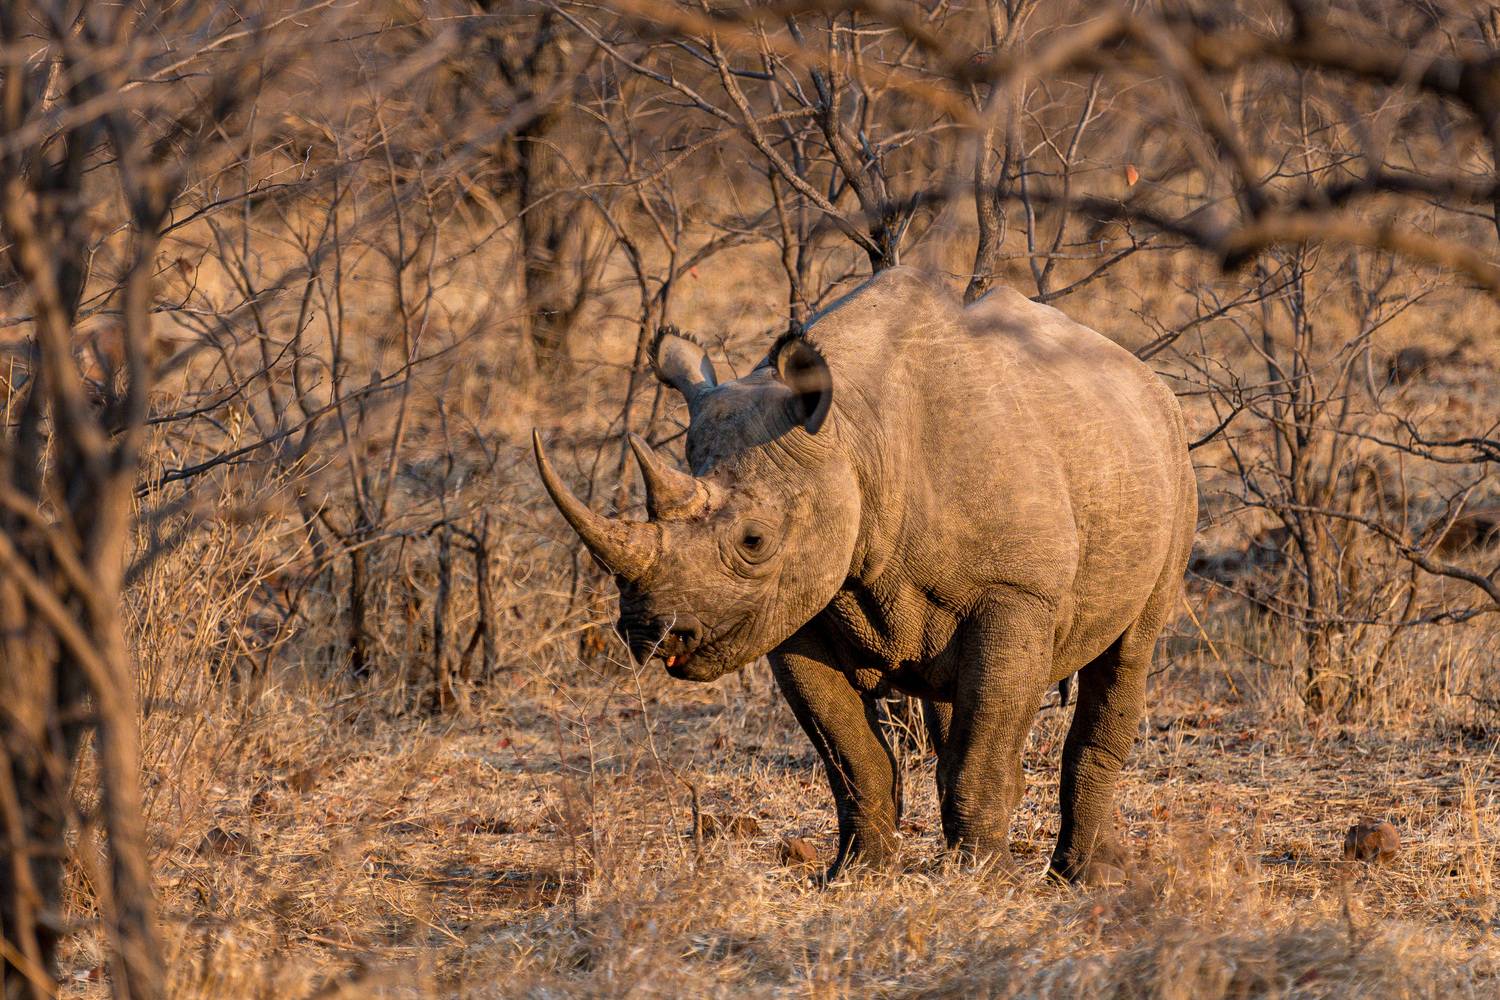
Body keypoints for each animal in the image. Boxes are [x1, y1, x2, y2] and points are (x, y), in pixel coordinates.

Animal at [534, 267, 1197, 882]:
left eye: (754, 542)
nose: (649, 632)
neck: (853, 437)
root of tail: (1142, 375)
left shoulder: (1015, 594)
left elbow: (981, 751)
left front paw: (987, 881)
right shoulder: (796, 605)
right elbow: (851, 755)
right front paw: (856, 874)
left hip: (1170, 454)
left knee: (1129, 650)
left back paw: (1084, 876)